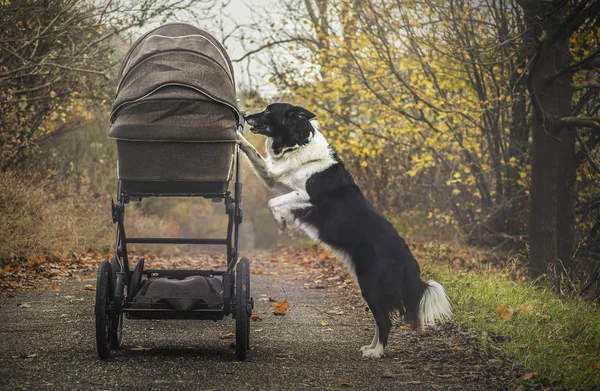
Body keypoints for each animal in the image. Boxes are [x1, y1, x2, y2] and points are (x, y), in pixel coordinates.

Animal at [236, 103, 450, 358]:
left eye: (269, 111)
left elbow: (273, 202)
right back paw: (371, 347)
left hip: (370, 282)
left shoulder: (306, 197)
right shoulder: (274, 179)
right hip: (366, 283)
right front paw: (237, 136)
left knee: (385, 320)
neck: (297, 143)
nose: (246, 115)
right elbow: (254, 154)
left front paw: (281, 223)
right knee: (379, 319)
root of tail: (407, 256)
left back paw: (376, 353)